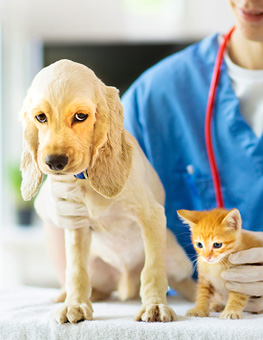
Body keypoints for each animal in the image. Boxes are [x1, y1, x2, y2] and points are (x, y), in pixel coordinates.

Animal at [19, 59, 195, 324]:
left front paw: (155, 305)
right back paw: (65, 296)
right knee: (96, 286)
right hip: (98, 268)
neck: (86, 182)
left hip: (176, 258)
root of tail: (125, 285)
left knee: (184, 281)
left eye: (80, 116)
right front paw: (75, 304)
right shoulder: (77, 226)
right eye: (40, 117)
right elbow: (76, 271)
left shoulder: (152, 216)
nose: (54, 162)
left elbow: (153, 269)